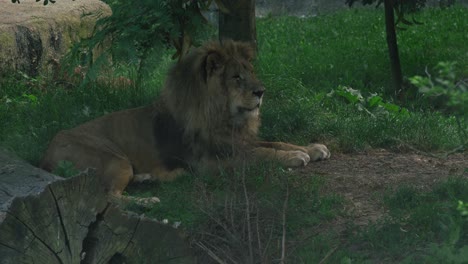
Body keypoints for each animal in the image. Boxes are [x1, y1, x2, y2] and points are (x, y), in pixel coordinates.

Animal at [42, 40, 330, 198]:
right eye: (236, 77)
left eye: (250, 72)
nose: (261, 92)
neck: (224, 116)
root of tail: (46, 153)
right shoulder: (210, 162)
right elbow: (260, 154)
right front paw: (295, 157)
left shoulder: (236, 141)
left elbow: (275, 143)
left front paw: (313, 148)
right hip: (114, 159)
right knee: (109, 199)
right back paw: (150, 199)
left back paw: (151, 179)